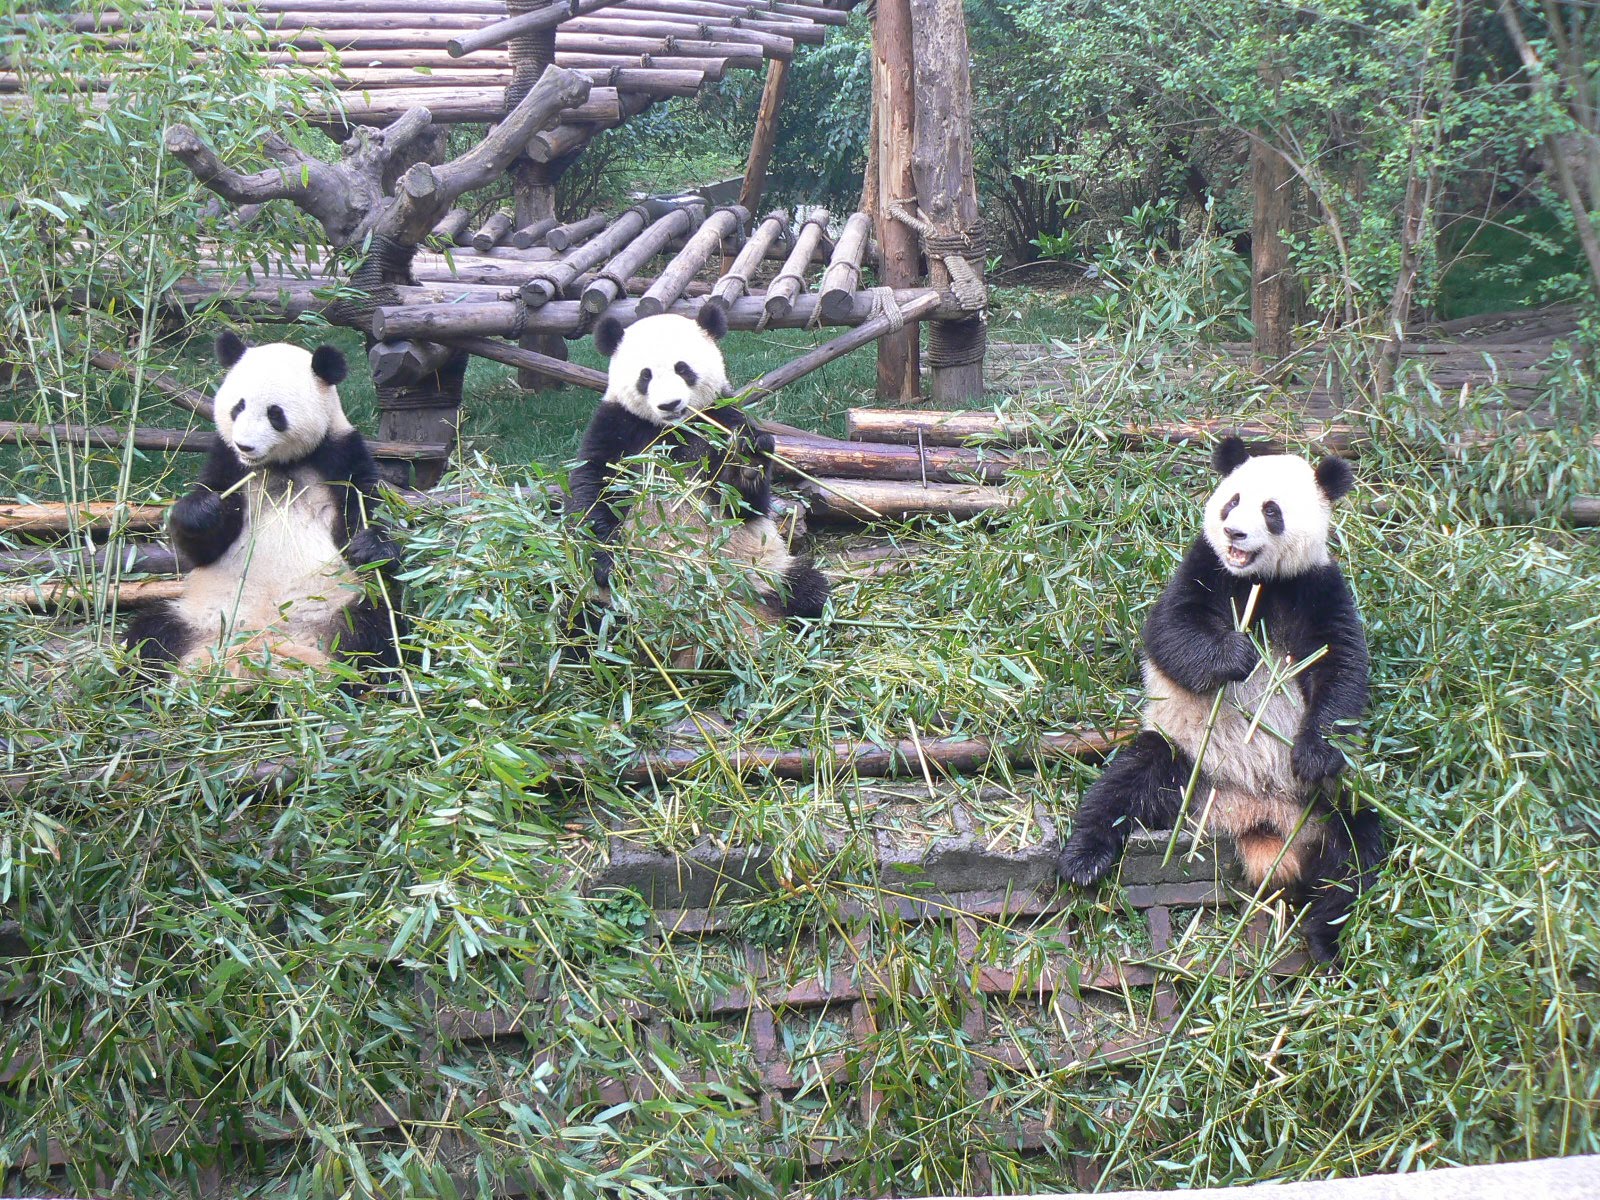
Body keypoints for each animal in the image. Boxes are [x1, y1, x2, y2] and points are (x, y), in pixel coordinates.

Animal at [124, 333, 405, 686]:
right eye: (238, 407)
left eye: (275, 413)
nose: (245, 445)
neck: (279, 465)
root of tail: (260, 646)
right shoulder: (227, 463)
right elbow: (201, 548)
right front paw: (202, 511)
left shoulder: (342, 456)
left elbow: (365, 515)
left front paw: (369, 546)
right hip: (196, 615)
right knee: (148, 635)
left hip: (344, 609)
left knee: (379, 634)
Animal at [565, 305, 828, 663]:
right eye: (645, 375)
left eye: (683, 368)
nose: (670, 405)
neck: (672, 430)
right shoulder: (617, 426)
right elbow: (593, 489)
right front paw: (610, 564)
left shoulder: (723, 419)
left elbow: (746, 504)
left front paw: (746, 463)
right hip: (606, 602)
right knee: (582, 620)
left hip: (764, 572)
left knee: (808, 592)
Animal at [1057, 435, 1382, 963]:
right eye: (1232, 501)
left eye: (1272, 511)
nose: (1234, 532)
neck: (1261, 582)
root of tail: (1255, 815)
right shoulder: (1205, 566)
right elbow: (1170, 630)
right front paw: (1236, 654)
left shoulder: (1318, 586)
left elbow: (1342, 670)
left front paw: (1314, 753)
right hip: (1190, 762)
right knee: (1127, 784)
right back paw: (1083, 860)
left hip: (1326, 799)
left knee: (1356, 850)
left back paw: (1325, 939)